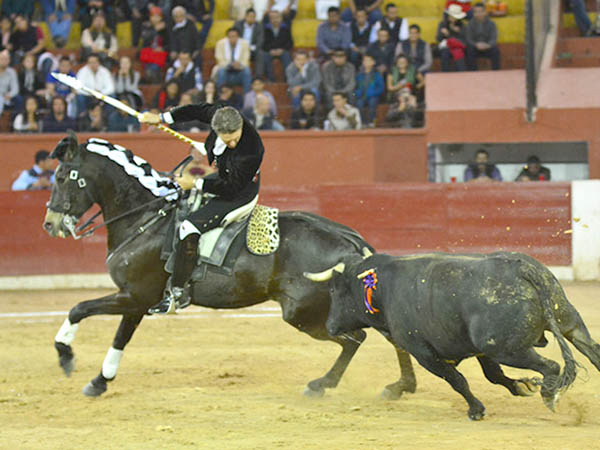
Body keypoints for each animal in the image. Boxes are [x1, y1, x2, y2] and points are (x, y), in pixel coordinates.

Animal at [41, 133, 418, 398]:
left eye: (60, 177)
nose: (49, 224)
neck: (147, 216)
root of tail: (350, 240)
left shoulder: (134, 296)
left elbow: (80, 309)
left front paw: (67, 357)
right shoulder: (136, 300)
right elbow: (116, 334)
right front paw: (98, 380)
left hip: (303, 313)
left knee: (355, 339)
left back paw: (321, 384)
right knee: (389, 334)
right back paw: (400, 387)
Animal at [304, 251, 600, 420]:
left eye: (334, 291)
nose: (329, 326)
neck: (383, 287)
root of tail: (520, 268)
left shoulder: (424, 354)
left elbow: (457, 380)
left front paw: (476, 410)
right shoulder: (479, 351)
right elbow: (493, 375)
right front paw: (521, 387)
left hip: (508, 349)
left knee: (551, 366)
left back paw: (549, 395)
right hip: (568, 322)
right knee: (593, 350)